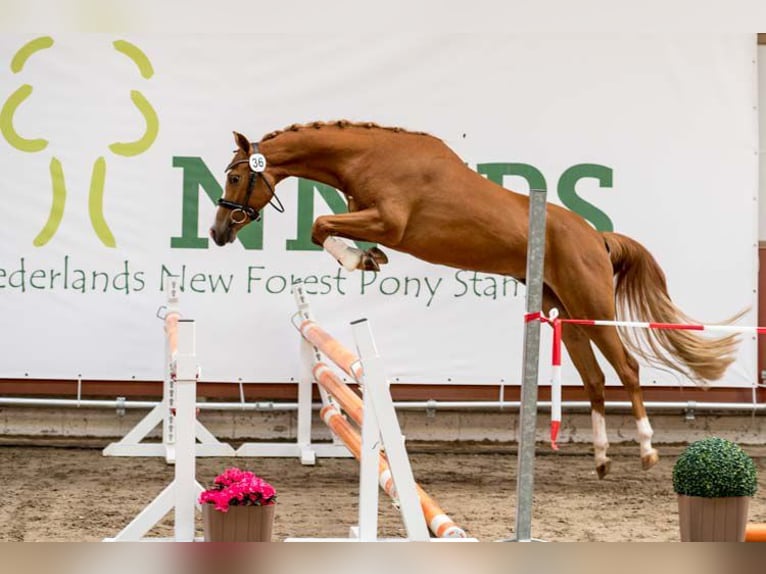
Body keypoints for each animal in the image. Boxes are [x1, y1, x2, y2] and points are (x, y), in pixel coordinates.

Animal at [210, 122, 744, 482]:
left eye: (236, 178)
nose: (218, 232)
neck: (370, 156)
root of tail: (597, 236)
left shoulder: (389, 222)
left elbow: (320, 225)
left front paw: (360, 259)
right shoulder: (369, 218)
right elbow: (326, 228)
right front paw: (367, 259)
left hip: (592, 306)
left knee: (628, 369)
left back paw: (649, 451)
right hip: (565, 314)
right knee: (594, 381)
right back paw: (600, 458)